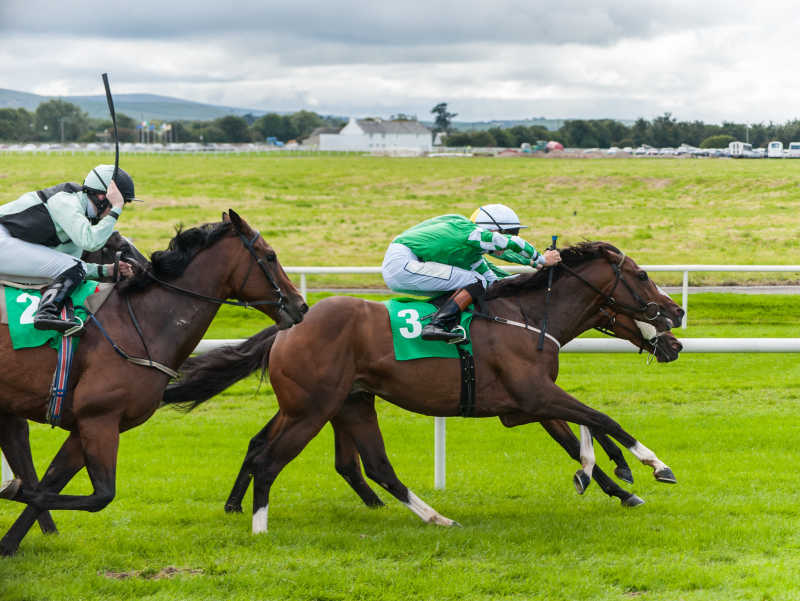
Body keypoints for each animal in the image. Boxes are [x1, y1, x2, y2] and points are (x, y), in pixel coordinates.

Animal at [0, 210, 306, 552]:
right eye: (270, 256)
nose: (300, 305)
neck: (142, 324)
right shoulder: (99, 419)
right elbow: (99, 495)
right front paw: (13, 490)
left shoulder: (85, 426)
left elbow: (51, 484)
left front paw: (8, 543)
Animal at [166, 241, 684, 532]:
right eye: (641, 275)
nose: (676, 317)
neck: (529, 316)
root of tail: (289, 326)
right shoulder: (534, 395)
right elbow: (601, 418)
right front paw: (652, 465)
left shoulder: (526, 405)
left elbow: (581, 433)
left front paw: (613, 482)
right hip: (311, 409)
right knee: (271, 459)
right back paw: (259, 526)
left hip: (347, 403)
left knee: (365, 464)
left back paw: (432, 516)